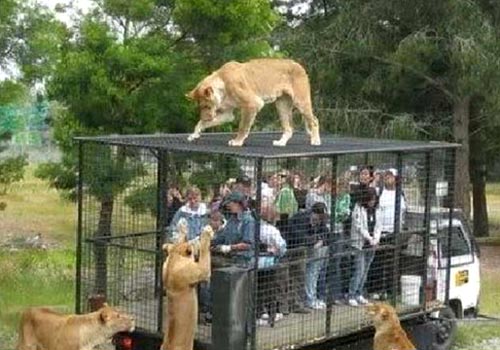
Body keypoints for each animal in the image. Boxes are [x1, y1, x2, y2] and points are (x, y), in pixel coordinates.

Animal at [186, 57, 322, 146]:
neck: (221, 82)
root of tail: (298, 64)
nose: (206, 117)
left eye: (206, 106)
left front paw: (237, 142)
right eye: (200, 107)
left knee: (314, 120)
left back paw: (315, 141)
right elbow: (201, 123)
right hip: (281, 105)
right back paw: (280, 143)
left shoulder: (252, 104)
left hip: (301, 101)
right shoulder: (227, 114)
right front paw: (194, 134)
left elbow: (243, 126)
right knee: (289, 128)